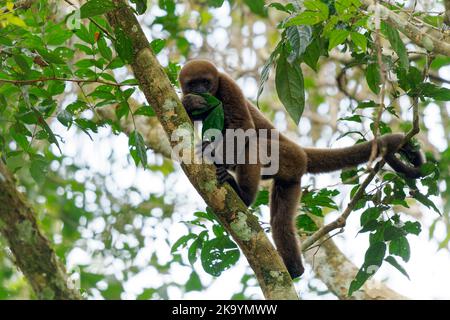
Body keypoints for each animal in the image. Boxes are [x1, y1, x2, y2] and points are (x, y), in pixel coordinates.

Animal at [178, 58, 422, 278]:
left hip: (287, 157)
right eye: (192, 84)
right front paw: (190, 104)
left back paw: (243, 194)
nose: (200, 91)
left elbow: (242, 127)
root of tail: (300, 151)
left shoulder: (228, 85)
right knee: (281, 223)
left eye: (205, 82)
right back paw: (294, 270)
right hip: (290, 179)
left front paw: (214, 153)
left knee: (254, 145)